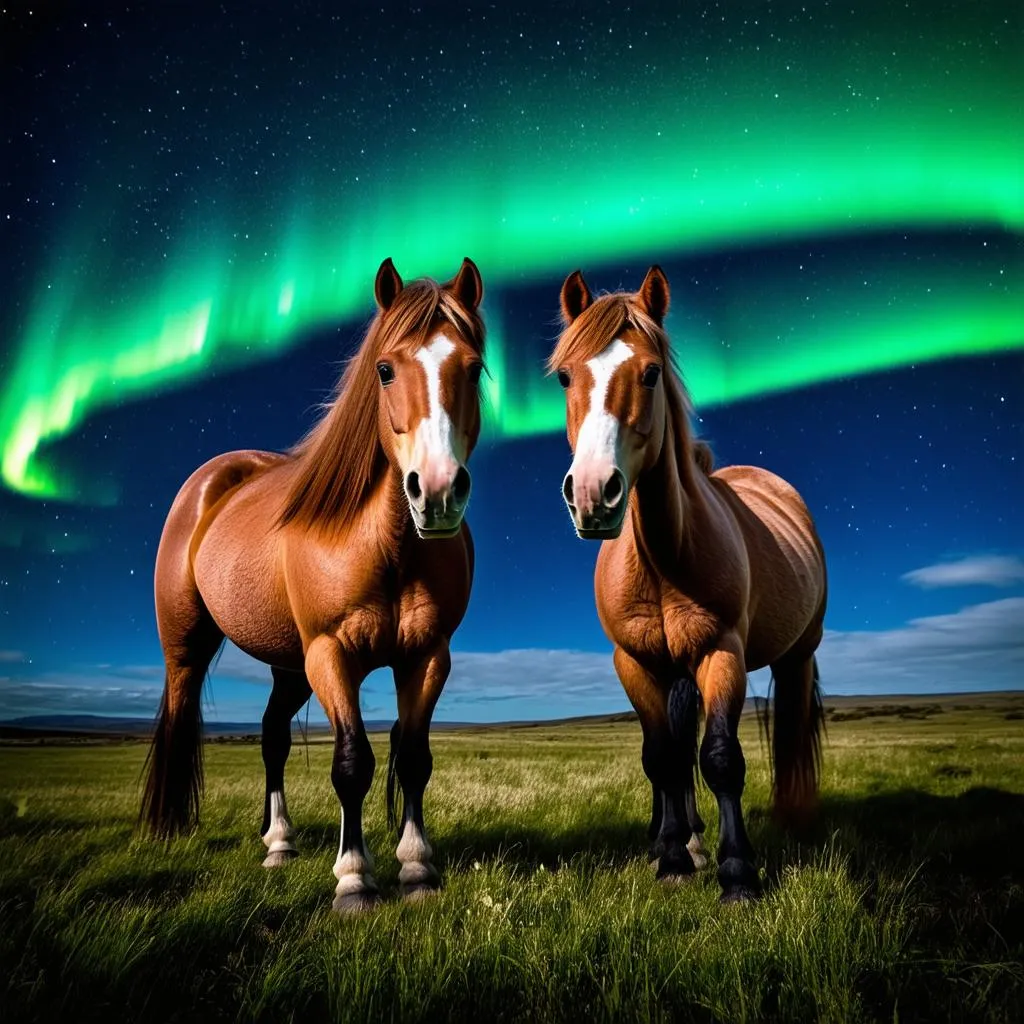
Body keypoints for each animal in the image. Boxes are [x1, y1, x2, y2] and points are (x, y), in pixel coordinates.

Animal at [141, 256, 487, 913]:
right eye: (384, 369)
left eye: (474, 368)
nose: (436, 491)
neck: (382, 543)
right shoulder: (331, 653)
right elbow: (352, 762)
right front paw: (354, 880)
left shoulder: (428, 655)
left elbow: (414, 757)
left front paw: (417, 869)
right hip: (190, 648)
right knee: (180, 714)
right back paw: (166, 829)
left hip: (288, 665)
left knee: (272, 737)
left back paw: (279, 843)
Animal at [548, 266, 827, 905]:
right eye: (566, 376)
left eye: (650, 372)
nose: (592, 492)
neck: (663, 556)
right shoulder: (635, 662)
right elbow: (664, 760)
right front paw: (674, 858)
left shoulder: (721, 651)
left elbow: (720, 757)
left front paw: (738, 873)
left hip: (797, 655)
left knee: (791, 732)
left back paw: (794, 823)